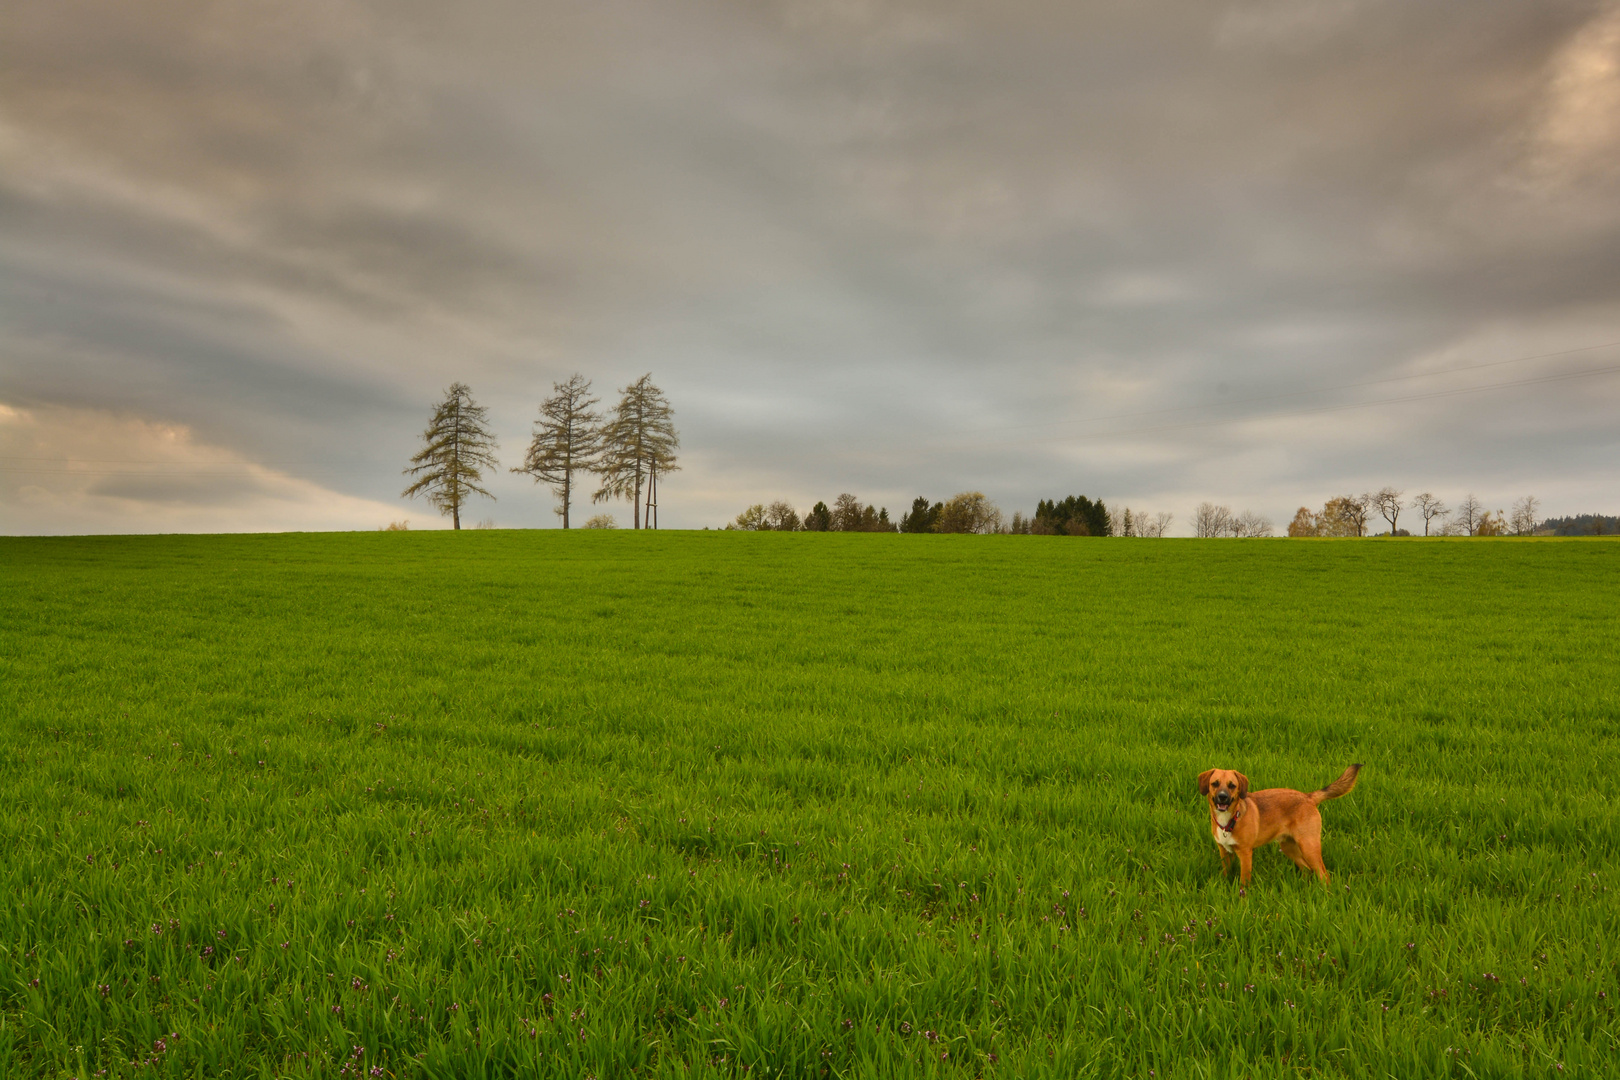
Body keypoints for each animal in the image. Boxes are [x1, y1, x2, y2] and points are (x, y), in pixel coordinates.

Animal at [1198, 761, 1360, 887]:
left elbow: (1244, 882)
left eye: (1232, 785)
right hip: (1288, 846)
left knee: (1323, 874)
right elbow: (1227, 873)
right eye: (1215, 784)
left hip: (1309, 847)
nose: (1222, 797)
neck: (1230, 819)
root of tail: (1309, 797)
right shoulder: (1224, 851)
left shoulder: (1245, 854)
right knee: (1306, 869)